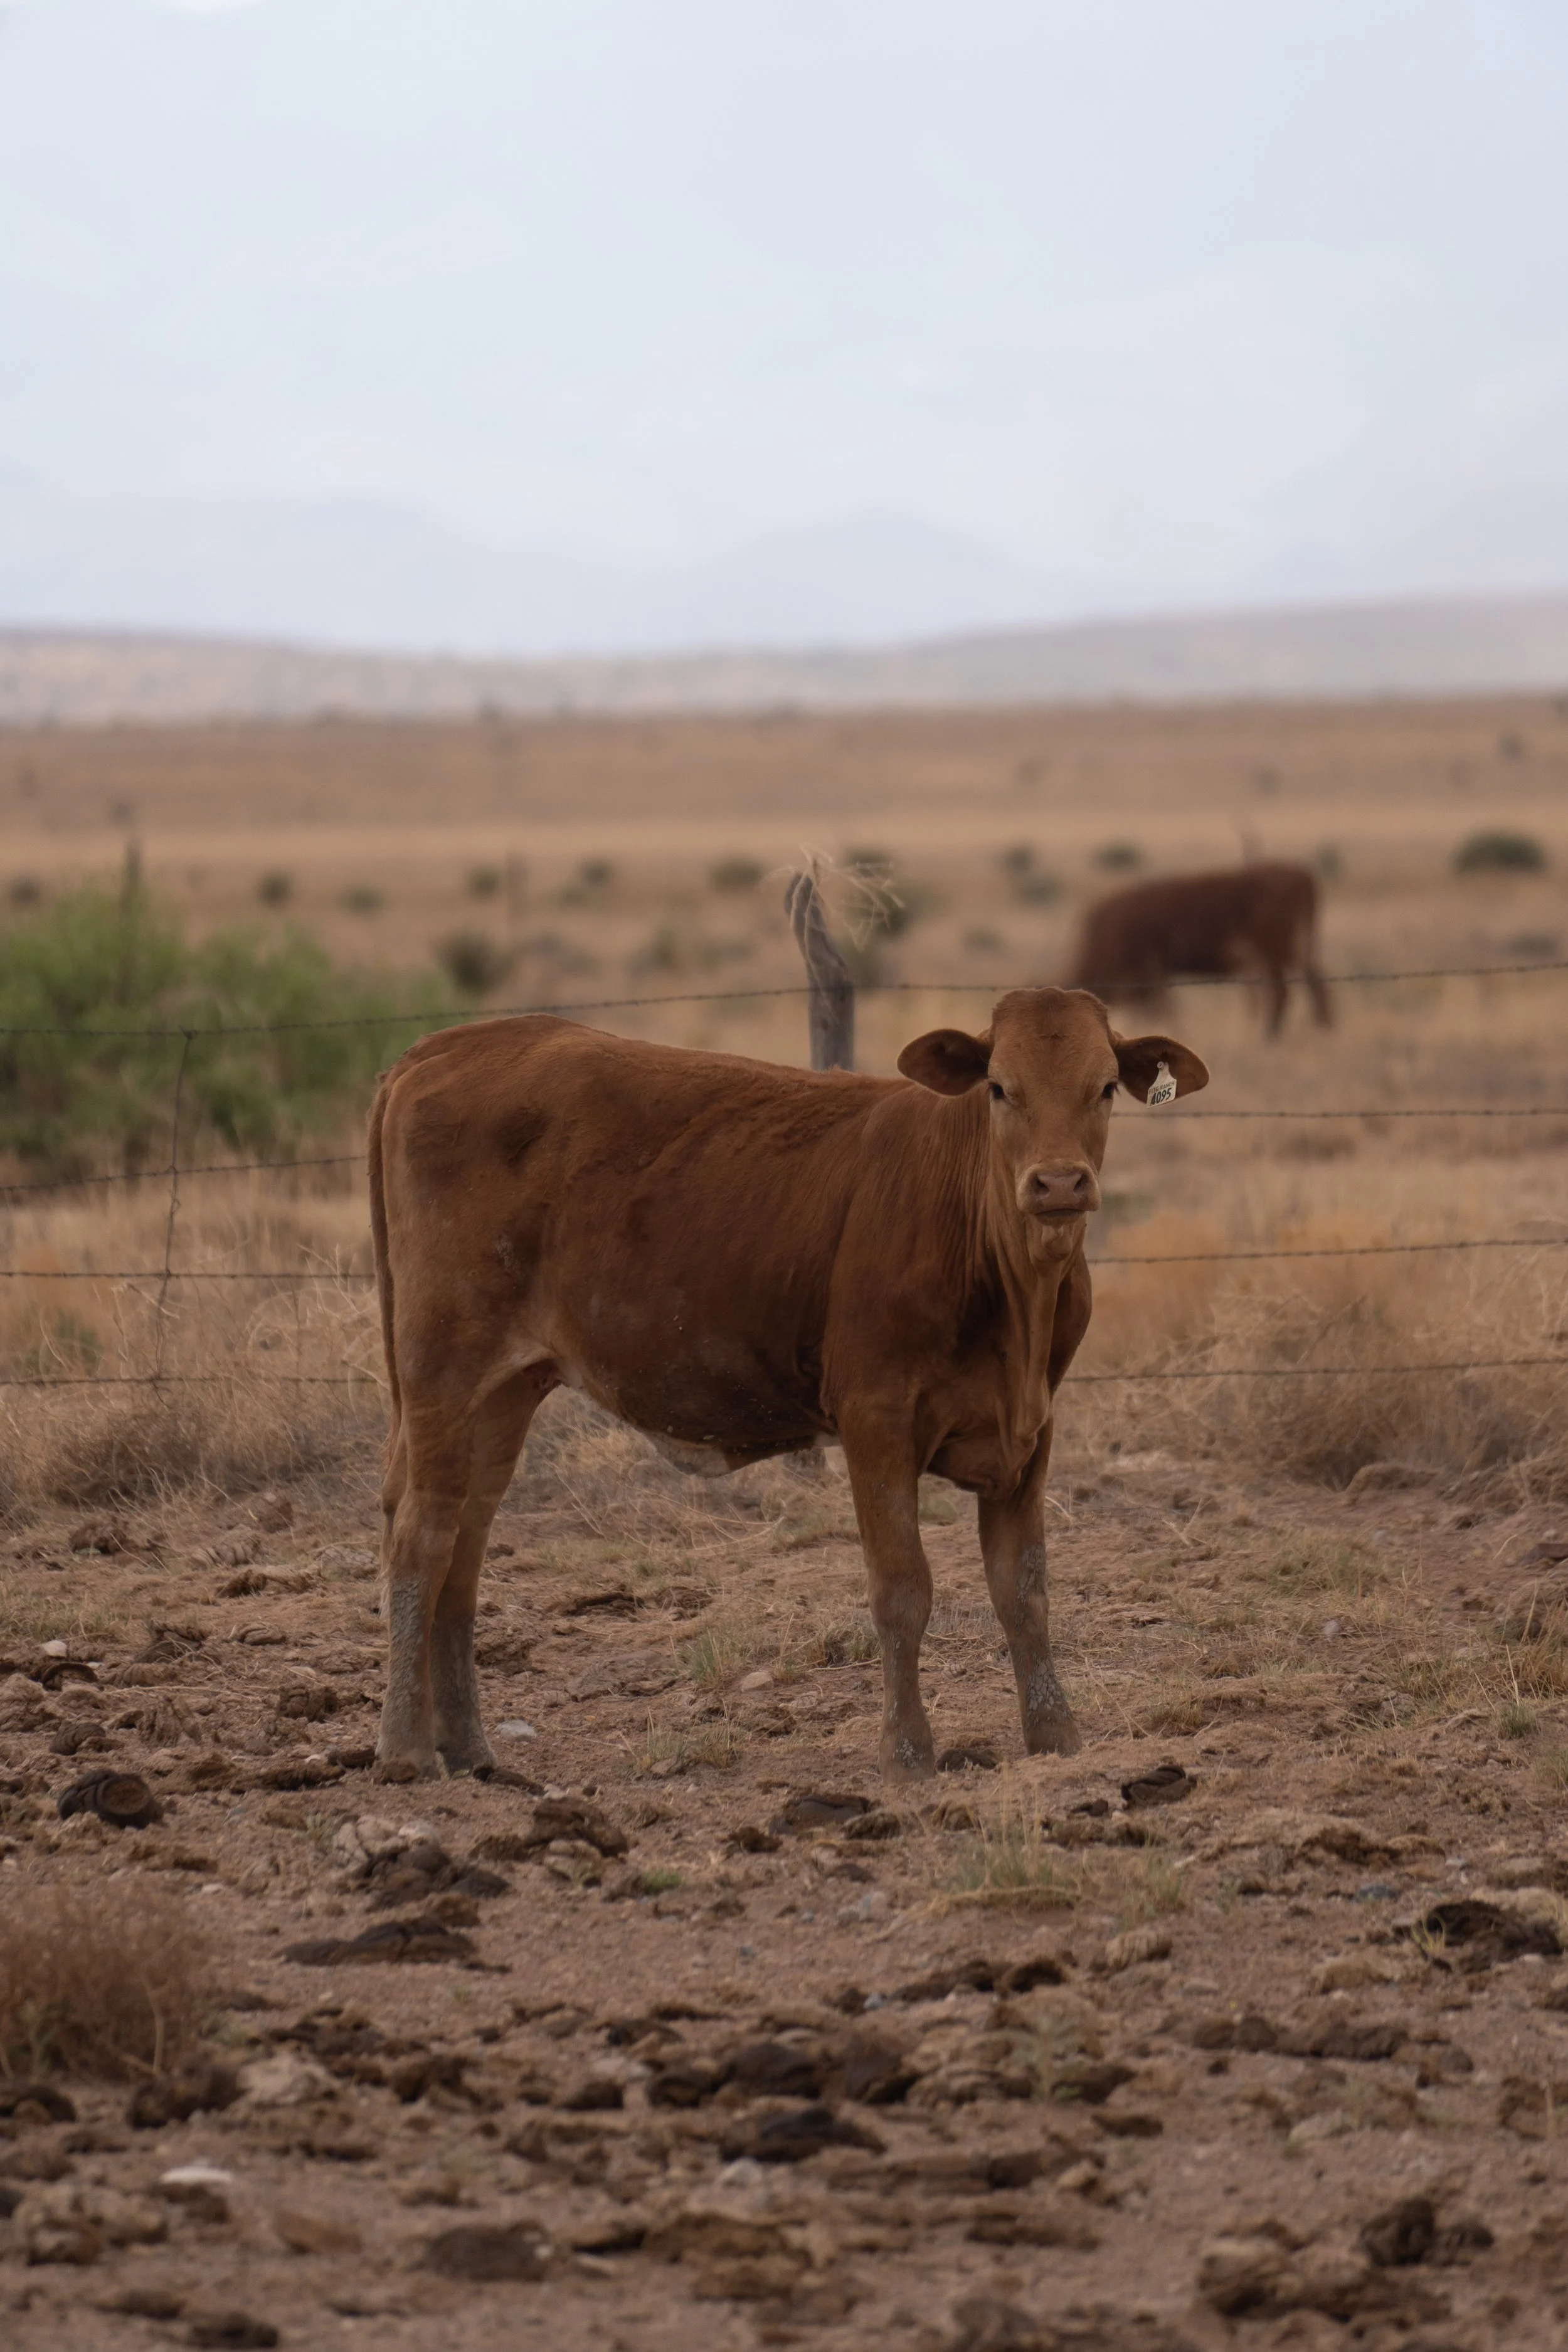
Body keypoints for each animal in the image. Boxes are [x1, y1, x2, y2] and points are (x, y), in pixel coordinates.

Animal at [367, 990, 1209, 1785]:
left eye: (1105, 1086)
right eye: (999, 1087)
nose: (1058, 1182)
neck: (1011, 1291)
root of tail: (443, 1046)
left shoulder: (1031, 1426)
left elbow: (1023, 1589)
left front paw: (1056, 1739)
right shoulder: (875, 1417)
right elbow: (902, 1589)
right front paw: (908, 1755)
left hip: (505, 1389)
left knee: (465, 1546)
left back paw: (469, 1749)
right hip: (443, 1367)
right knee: (421, 1538)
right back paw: (406, 1750)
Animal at [1068, 862, 1331, 1035]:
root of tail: (1302, 875)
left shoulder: (1149, 970)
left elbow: (1161, 1010)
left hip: (1274, 951)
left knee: (1282, 992)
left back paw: (1270, 1036)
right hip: (1296, 949)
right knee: (1315, 984)